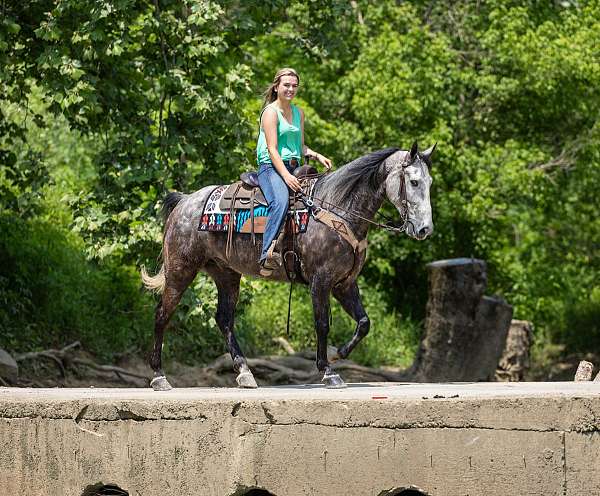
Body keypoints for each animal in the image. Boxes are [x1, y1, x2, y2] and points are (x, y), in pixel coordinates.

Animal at [144, 141, 436, 390]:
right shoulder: (321, 280)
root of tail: (184, 201)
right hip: (180, 270)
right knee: (161, 314)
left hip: (226, 274)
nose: (425, 229)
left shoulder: (344, 283)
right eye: (413, 181)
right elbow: (322, 324)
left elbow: (364, 322)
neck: (338, 207)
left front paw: (339, 353)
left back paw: (245, 373)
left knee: (224, 319)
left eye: (429, 182)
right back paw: (159, 377)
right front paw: (328, 371)